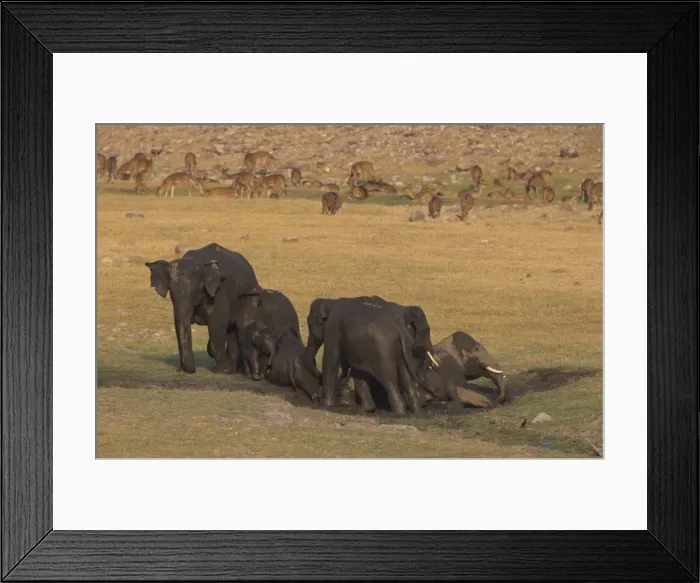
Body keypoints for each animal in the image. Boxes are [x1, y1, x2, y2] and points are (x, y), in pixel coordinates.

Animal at [145, 243, 262, 374]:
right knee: (231, 331)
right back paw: (232, 370)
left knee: (241, 327)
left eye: (197, 290)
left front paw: (221, 370)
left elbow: (217, 325)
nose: (183, 370)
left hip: (251, 296)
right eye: (170, 290)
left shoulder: (218, 292)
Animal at [304, 296, 438, 414]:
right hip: (403, 347)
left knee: (389, 379)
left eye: (310, 325)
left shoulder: (333, 328)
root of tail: (399, 326)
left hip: (383, 349)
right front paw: (366, 409)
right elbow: (358, 373)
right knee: (407, 377)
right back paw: (416, 411)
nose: (318, 374)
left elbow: (331, 361)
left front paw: (327, 405)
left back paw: (398, 413)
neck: (331, 301)